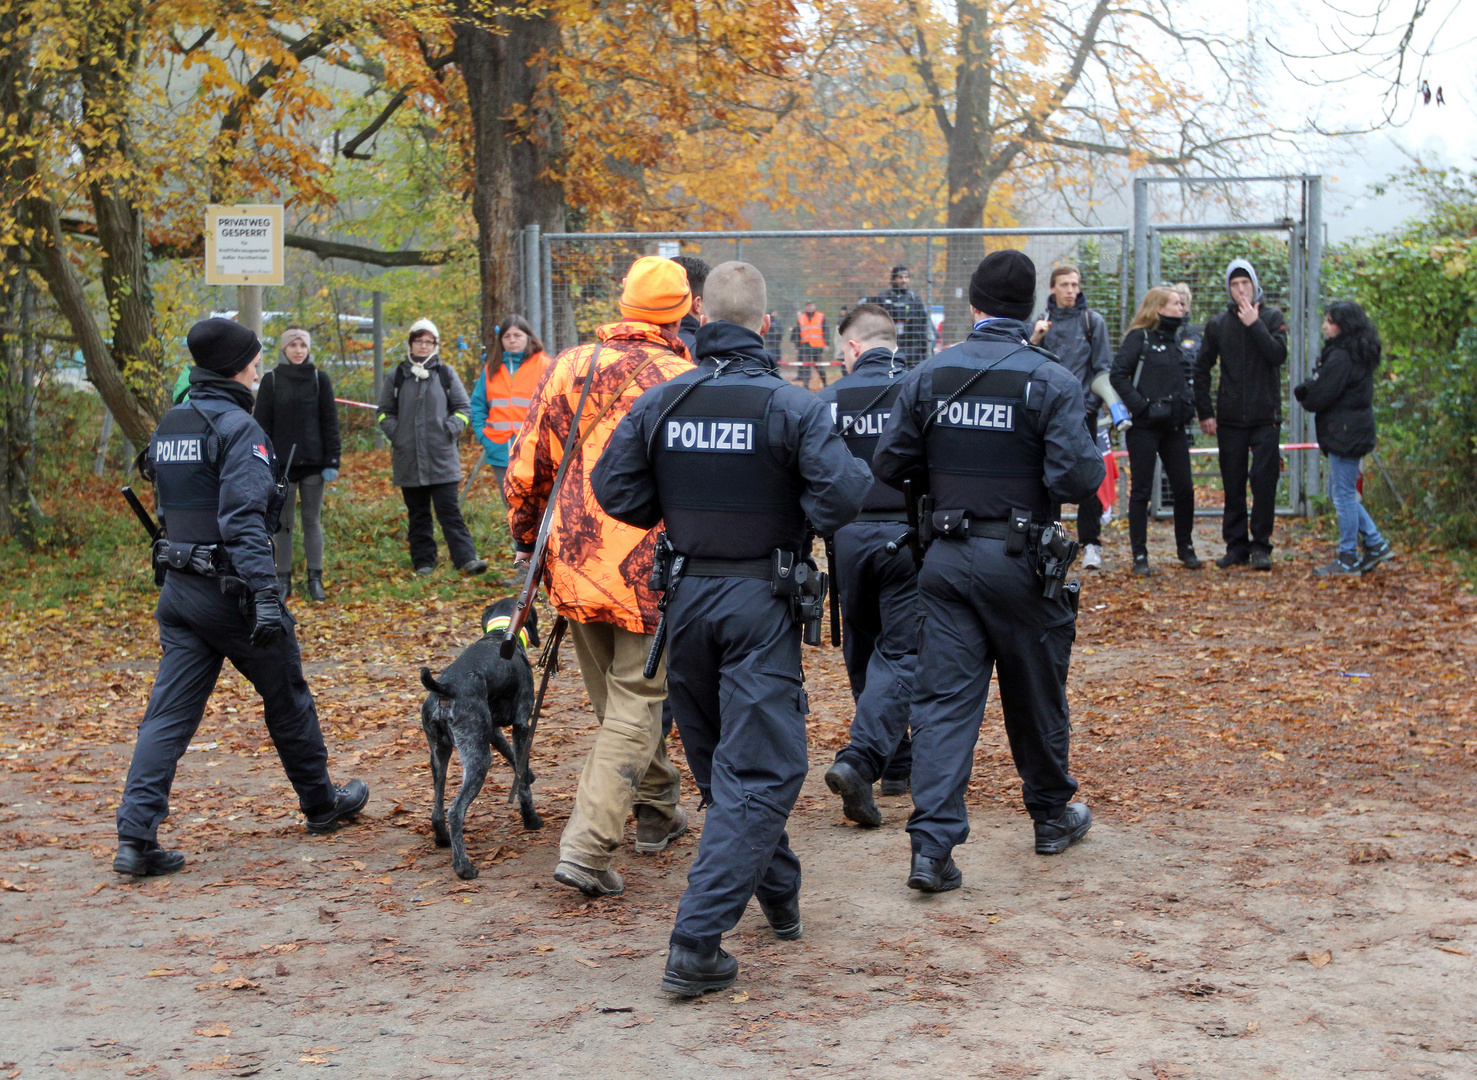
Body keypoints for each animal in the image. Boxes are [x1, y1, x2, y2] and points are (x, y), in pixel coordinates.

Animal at [422, 599, 543, 880]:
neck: (500, 634)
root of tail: (445, 689)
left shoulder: (493, 731)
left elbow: (512, 757)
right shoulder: (522, 723)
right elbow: (522, 781)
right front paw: (531, 820)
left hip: (440, 755)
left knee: (437, 809)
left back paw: (442, 839)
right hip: (478, 759)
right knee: (455, 811)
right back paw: (464, 867)